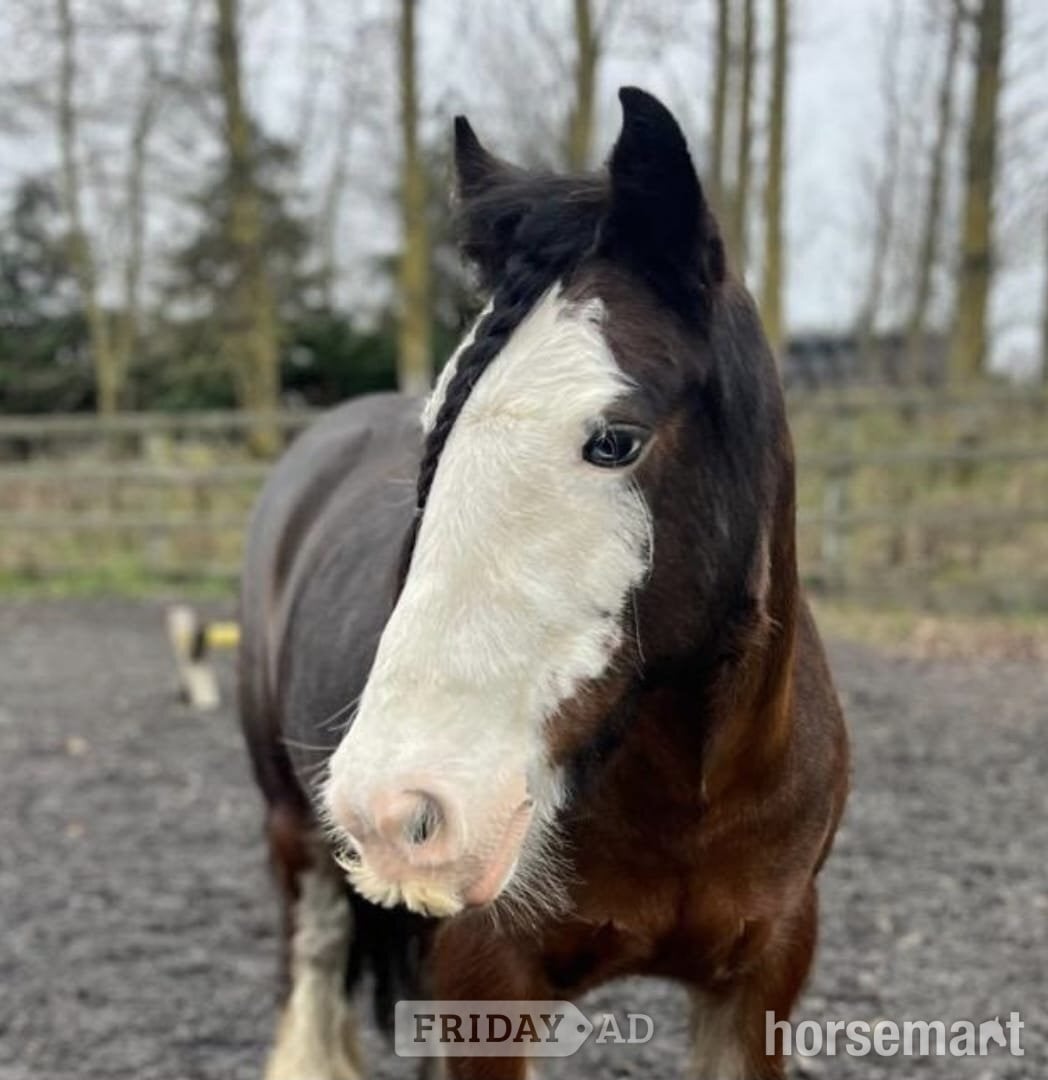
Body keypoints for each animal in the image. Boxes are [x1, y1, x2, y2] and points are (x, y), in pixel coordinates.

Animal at [238, 87, 849, 1080]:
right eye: (437, 429)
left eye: (614, 439)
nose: (395, 810)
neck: (695, 791)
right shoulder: (483, 989)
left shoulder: (763, 979)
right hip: (296, 840)